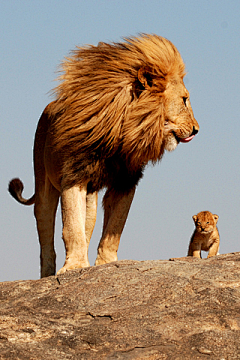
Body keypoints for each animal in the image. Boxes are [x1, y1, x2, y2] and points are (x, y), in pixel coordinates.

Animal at [8, 34, 199, 278]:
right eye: (184, 100)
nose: (196, 129)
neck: (122, 131)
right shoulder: (74, 176)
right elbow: (71, 227)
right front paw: (74, 267)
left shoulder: (126, 181)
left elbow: (114, 228)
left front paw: (105, 264)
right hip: (43, 183)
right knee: (45, 227)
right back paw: (48, 273)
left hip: (91, 198)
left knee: (87, 224)